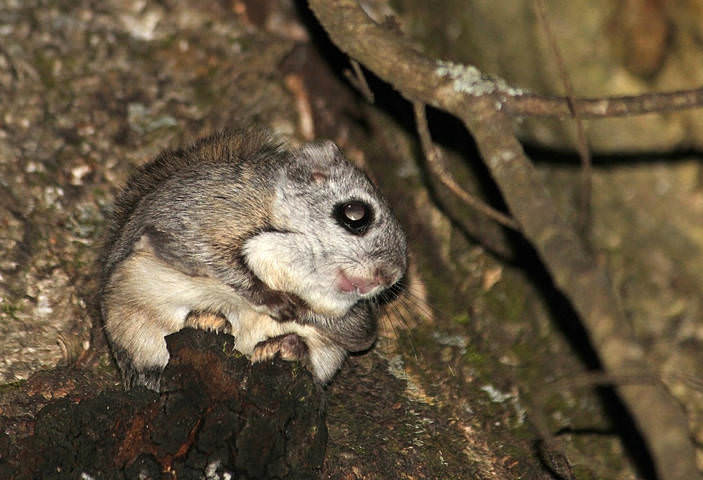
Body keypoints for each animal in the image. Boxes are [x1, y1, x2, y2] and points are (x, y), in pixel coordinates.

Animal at [99, 129, 408, 390]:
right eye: (355, 213)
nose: (391, 276)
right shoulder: (193, 216)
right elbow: (207, 256)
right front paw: (275, 300)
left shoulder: (353, 324)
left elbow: (359, 333)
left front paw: (297, 317)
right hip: (134, 313)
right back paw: (206, 319)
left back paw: (285, 346)